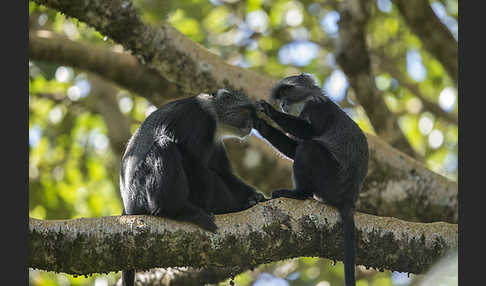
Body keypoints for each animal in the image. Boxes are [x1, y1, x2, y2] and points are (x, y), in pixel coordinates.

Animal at [120, 89, 266, 286]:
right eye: (247, 112)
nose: (250, 126)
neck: (213, 112)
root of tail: (128, 207)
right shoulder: (199, 123)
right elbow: (193, 161)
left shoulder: (216, 142)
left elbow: (223, 173)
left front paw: (253, 197)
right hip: (141, 191)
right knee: (165, 146)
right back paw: (177, 210)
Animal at [251, 73, 368, 286]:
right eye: (280, 96)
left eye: (287, 91)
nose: (282, 104)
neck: (306, 100)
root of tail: (348, 198)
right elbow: (293, 149)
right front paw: (259, 124)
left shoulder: (318, 108)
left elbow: (309, 133)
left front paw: (268, 110)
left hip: (330, 179)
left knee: (308, 148)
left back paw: (299, 194)